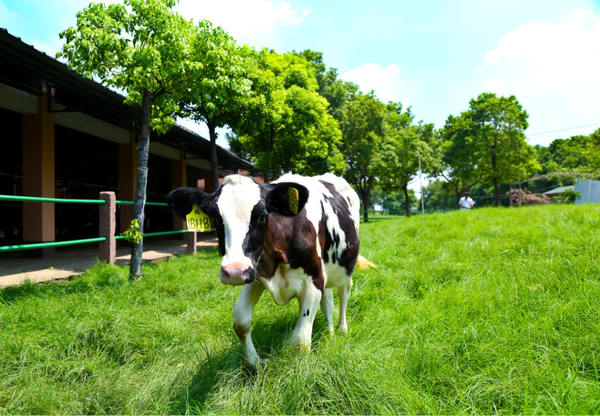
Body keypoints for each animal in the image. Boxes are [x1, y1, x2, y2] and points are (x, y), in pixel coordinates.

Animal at [169, 172, 372, 364]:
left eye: (262, 216)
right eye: (216, 218)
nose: (234, 271)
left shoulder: (314, 278)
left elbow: (299, 342)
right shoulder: (255, 273)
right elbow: (241, 321)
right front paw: (255, 364)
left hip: (344, 268)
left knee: (343, 293)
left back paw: (342, 329)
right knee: (328, 302)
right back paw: (329, 332)